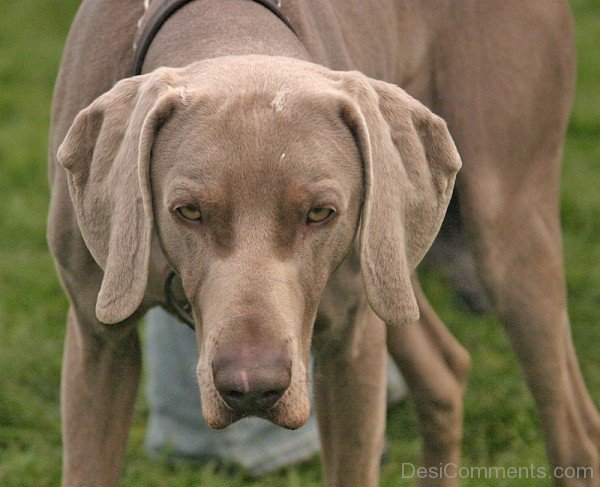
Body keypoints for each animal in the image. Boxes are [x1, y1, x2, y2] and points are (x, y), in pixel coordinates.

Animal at [49, 0, 596, 486]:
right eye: (188, 211)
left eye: (320, 213)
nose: (252, 388)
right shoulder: (97, 341)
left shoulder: (351, 347)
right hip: (392, 261)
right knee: (445, 372)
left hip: (498, 232)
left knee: (574, 431)